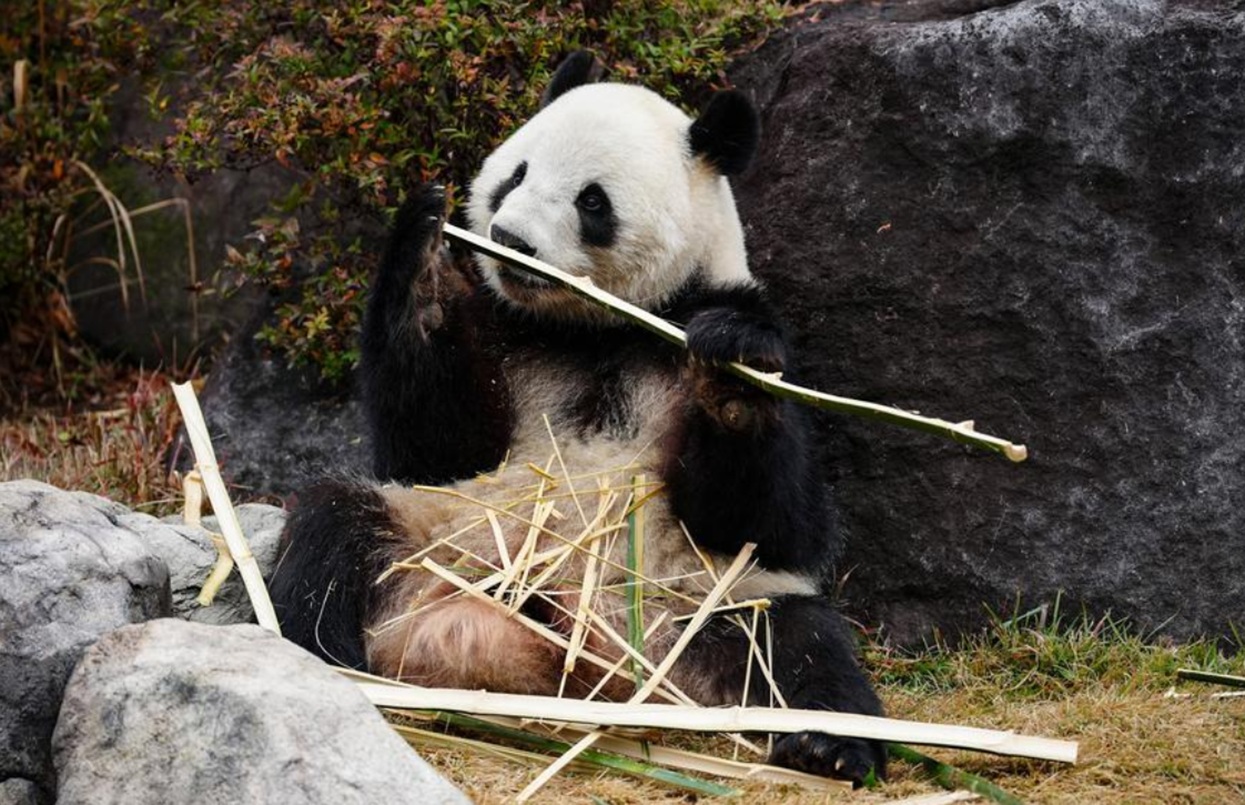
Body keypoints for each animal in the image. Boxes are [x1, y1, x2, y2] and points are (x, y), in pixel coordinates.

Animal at [269, 51, 886, 783]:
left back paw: (826, 747)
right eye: (516, 173)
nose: (508, 239)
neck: (592, 328)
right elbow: (435, 449)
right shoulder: (504, 335)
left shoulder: (708, 321)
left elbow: (776, 523)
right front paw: (426, 252)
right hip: (434, 542)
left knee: (800, 646)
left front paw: (730, 371)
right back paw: (332, 667)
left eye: (592, 201)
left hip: (704, 605)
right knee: (329, 534)